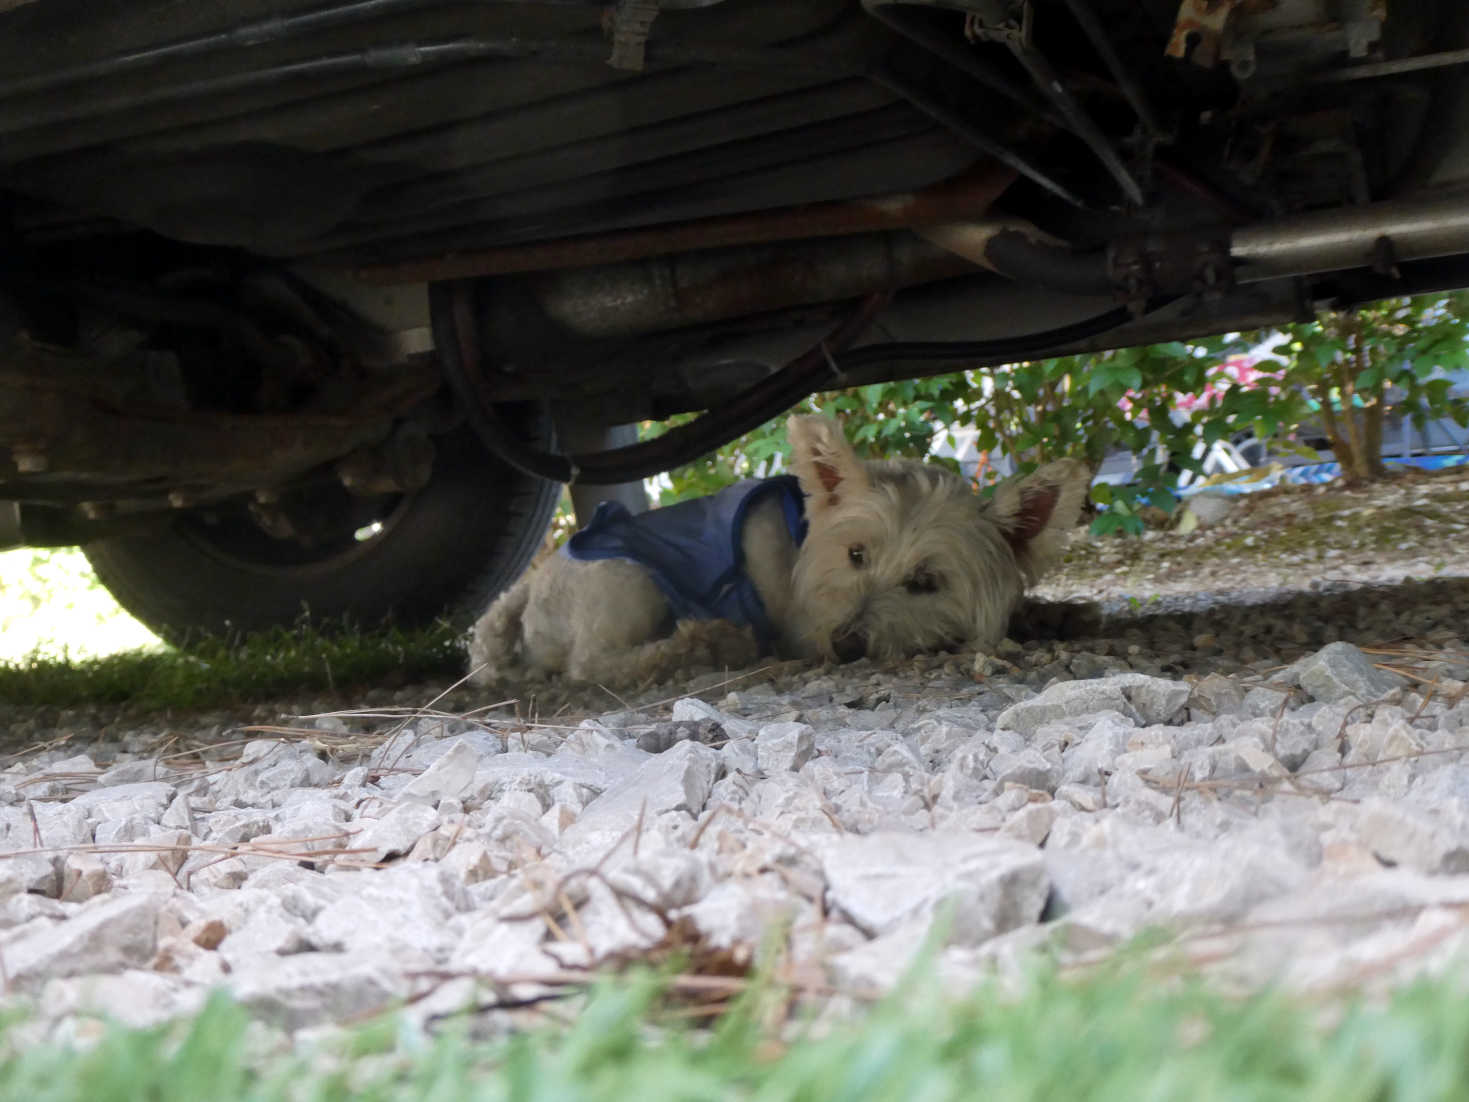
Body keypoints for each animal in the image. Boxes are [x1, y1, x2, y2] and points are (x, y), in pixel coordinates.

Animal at [470, 417, 1092, 687]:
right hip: (630, 578)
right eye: (856, 555)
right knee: (592, 663)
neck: (803, 542)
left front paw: (1060, 613)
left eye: (926, 582)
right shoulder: (799, 622)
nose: (846, 645)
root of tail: (528, 587)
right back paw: (711, 643)